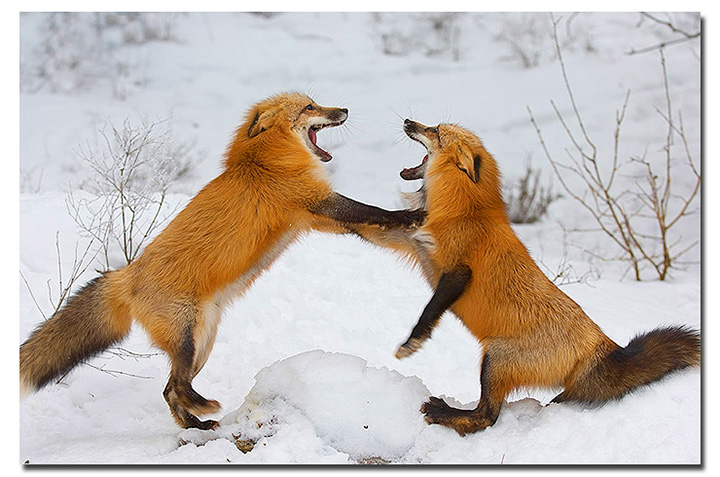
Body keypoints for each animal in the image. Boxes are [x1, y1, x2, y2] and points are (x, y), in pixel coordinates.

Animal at [19, 92, 424, 430]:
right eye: (310, 106)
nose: (345, 110)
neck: (264, 161)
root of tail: (126, 274)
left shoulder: (317, 218)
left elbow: (369, 221)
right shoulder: (317, 202)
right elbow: (373, 211)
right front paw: (410, 216)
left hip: (205, 340)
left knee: (169, 389)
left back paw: (194, 425)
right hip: (189, 338)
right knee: (176, 387)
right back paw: (203, 408)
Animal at [351, 119, 701, 435]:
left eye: (434, 130)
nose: (408, 121)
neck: (463, 208)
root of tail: (602, 345)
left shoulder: (458, 271)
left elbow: (430, 309)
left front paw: (413, 342)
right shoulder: (414, 240)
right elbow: (365, 222)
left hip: (494, 361)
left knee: (487, 417)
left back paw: (444, 413)